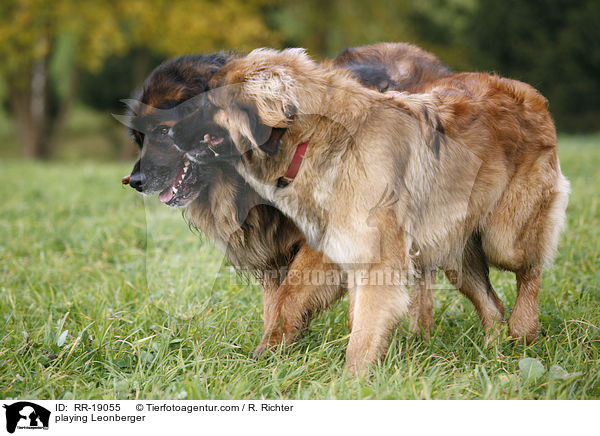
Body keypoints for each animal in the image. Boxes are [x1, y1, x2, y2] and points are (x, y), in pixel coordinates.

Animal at [124, 41, 454, 358]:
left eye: (162, 130)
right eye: (139, 138)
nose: (134, 182)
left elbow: (291, 293)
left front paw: (272, 348)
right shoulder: (272, 250)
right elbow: (275, 299)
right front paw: (277, 347)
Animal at [176, 49, 568, 372]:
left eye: (206, 103)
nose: (167, 134)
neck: (314, 139)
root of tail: (529, 93)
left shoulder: (375, 259)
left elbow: (362, 328)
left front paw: (352, 382)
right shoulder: (341, 250)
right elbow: (317, 306)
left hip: (505, 237)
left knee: (529, 271)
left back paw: (524, 330)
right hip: (453, 246)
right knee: (491, 305)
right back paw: (492, 350)